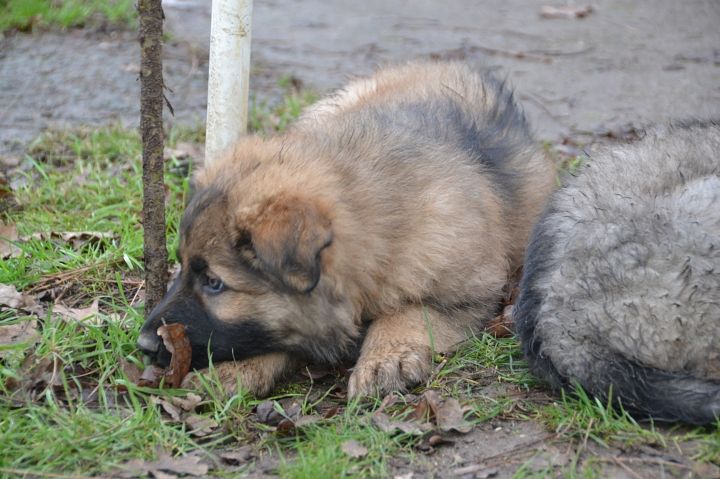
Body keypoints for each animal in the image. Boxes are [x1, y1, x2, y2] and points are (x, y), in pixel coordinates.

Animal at [137, 61, 555, 398]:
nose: (143, 345)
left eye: (214, 283)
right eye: (182, 267)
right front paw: (237, 369)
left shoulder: (468, 292)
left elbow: (411, 309)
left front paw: (386, 356)